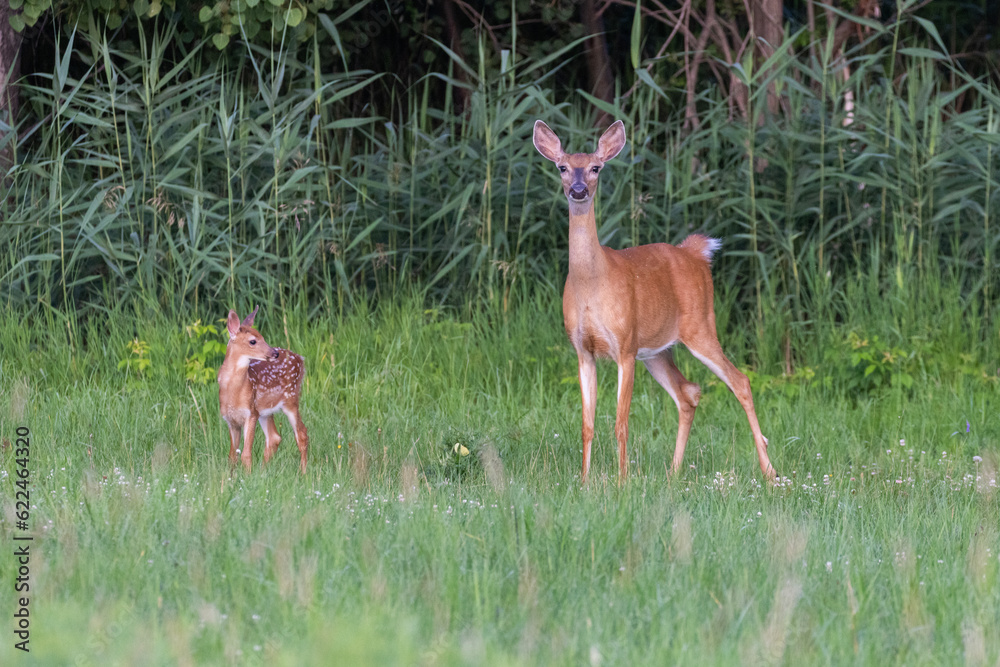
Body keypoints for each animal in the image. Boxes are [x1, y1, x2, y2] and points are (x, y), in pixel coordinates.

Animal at [218, 308, 308, 474]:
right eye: (253, 341)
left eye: (263, 337)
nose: (274, 353)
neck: (234, 392)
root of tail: (300, 358)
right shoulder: (231, 420)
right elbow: (232, 455)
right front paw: (231, 477)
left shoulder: (251, 413)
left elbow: (246, 454)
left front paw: (247, 476)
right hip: (266, 411)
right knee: (274, 437)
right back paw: (263, 472)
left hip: (291, 399)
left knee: (302, 434)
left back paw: (303, 472)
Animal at [532, 120, 772, 482]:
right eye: (562, 167)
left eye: (596, 167)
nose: (578, 190)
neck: (590, 285)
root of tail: (695, 254)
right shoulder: (583, 350)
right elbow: (587, 425)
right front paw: (585, 482)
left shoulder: (625, 345)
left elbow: (621, 423)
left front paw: (621, 482)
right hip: (658, 350)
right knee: (688, 392)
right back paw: (673, 474)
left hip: (700, 325)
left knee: (740, 381)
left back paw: (770, 473)